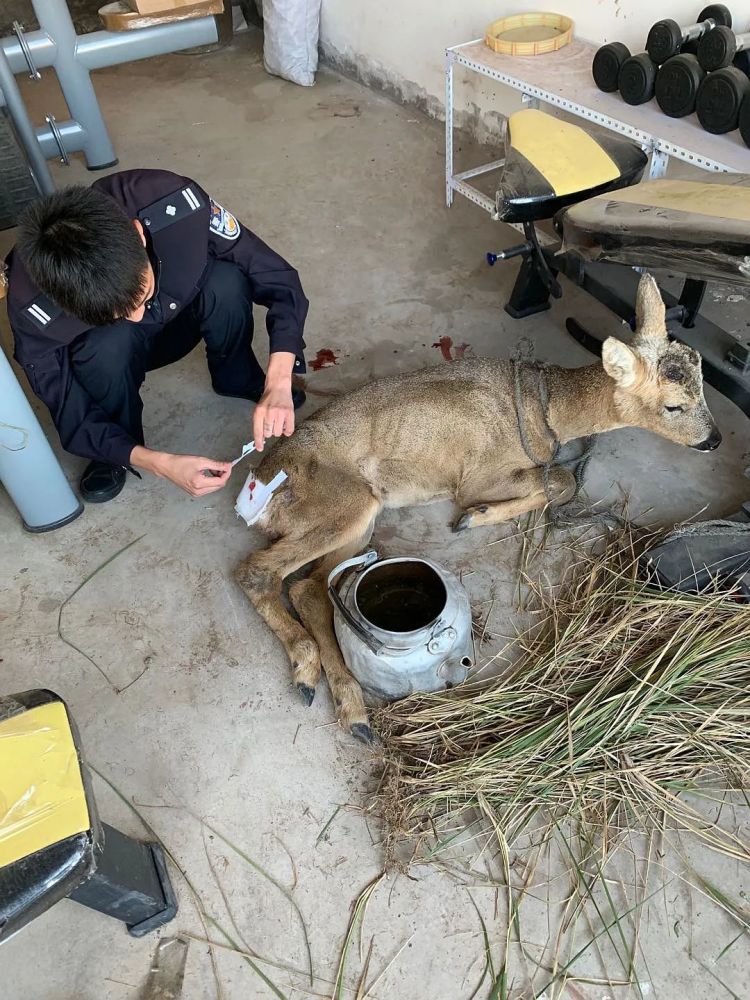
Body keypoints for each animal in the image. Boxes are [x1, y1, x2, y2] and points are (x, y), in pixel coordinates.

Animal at [235, 274, 724, 744]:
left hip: (358, 520)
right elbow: (560, 481)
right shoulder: (476, 476)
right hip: (346, 503)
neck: (544, 410)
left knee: (308, 587)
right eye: (673, 405)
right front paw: (474, 516)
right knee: (257, 570)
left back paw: (353, 711)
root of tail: (261, 487)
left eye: (703, 385)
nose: (714, 440)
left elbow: (561, 479)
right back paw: (307, 674)